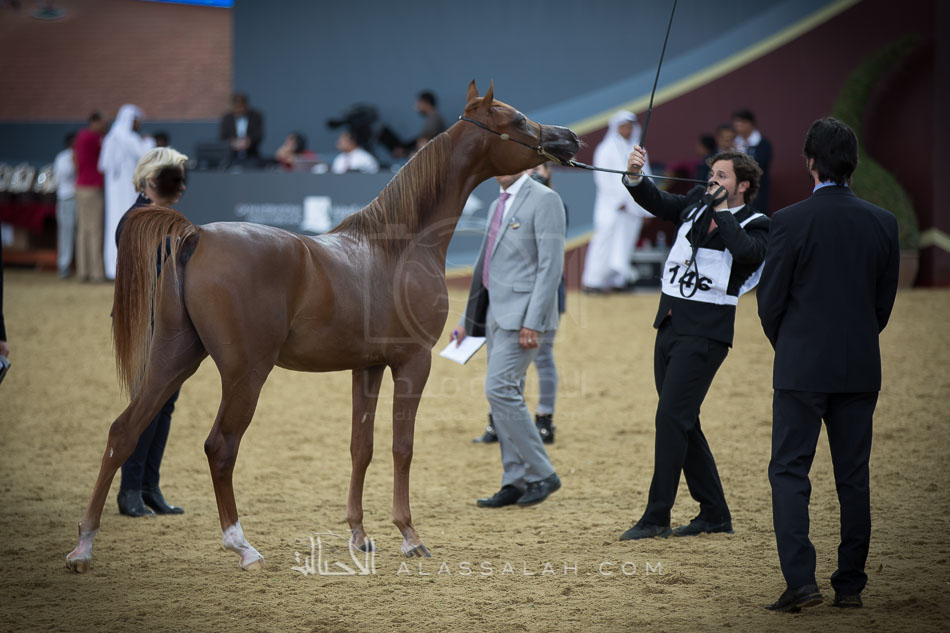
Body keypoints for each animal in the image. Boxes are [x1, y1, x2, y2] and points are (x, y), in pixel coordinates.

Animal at [66, 80, 581, 573]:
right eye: (516, 119)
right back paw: (243, 547)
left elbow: (361, 446)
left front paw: (358, 534)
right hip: (244, 373)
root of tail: (197, 236)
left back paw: (83, 547)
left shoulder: (367, 366)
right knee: (220, 447)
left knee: (123, 432)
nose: (569, 138)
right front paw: (410, 536)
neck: (399, 246)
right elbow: (402, 446)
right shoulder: (412, 362)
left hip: (173, 357)